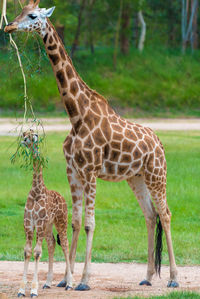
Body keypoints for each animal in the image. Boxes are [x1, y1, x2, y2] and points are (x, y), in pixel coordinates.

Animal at [17, 131, 72, 298]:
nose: (23, 140)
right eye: (24, 133)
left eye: (30, 135)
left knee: (65, 244)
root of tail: (63, 198)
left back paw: (69, 283)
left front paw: (33, 290)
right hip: (48, 226)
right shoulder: (29, 224)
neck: (36, 190)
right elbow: (28, 251)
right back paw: (47, 283)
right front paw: (21, 290)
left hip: (61, 221)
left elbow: (37, 252)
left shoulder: (39, 224)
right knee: (52, 243)